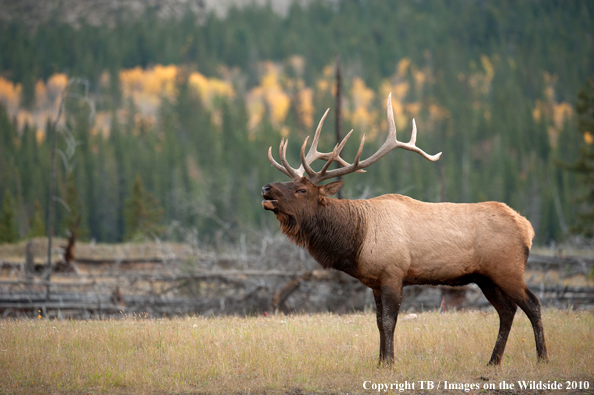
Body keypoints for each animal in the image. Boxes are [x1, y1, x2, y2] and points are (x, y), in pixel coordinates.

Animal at [262, 94, 548, 366]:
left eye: (302, 189)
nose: (266, 188)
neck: (357, 240)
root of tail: (527, 227)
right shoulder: (375, 281)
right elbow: (378, 322)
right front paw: (380, 361)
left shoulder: (393, 272)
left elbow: (390, 321)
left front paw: (390, 361)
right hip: (485, 277)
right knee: (507, 311)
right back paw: (493, 361)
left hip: (508, 269)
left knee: (532, 304)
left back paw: (542, 357)